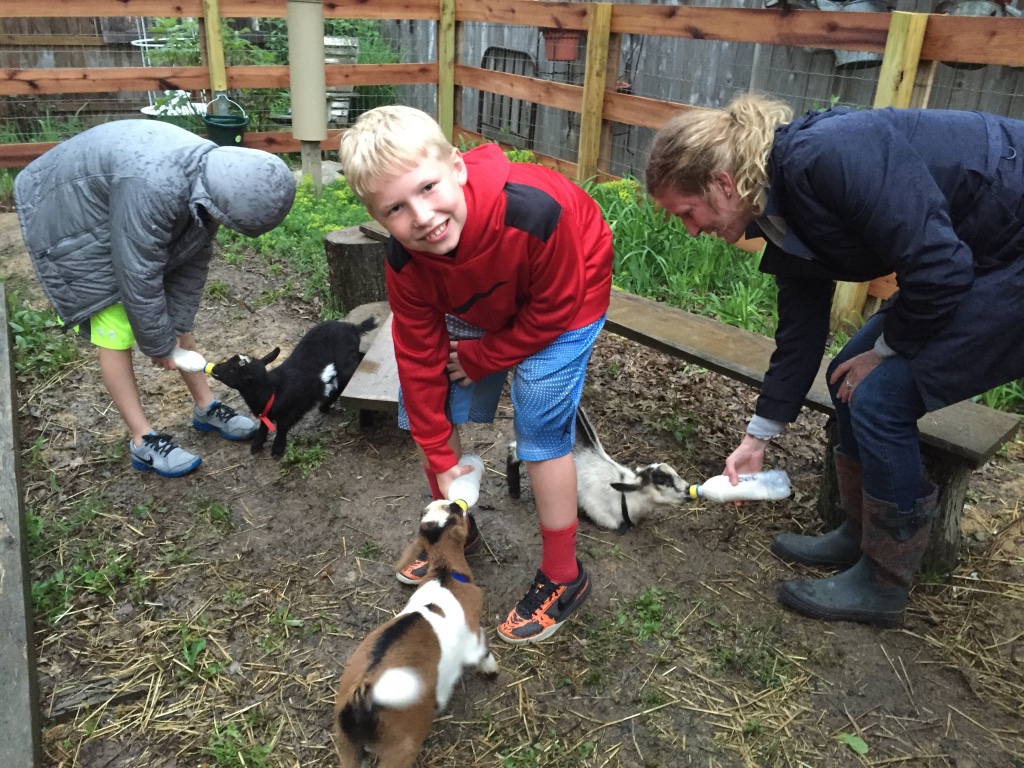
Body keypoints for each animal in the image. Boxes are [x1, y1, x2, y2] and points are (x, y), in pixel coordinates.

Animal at [207, 318, 375, 456]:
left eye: (233, 370)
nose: (214, 368)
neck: (272, 389)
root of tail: (353, 327)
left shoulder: (294, 410)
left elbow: (282, 427)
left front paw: (277, 449)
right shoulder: (265, 412)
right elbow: (264, 425)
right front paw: (257, 444)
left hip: (346, 367)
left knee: (343, 385)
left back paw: (325, 405)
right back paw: (324, 406)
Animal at [332, 500, 498, 768]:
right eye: (454, 513)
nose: (455, 502)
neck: (444, 574)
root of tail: (362, 696)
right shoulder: (472, 633)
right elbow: (483, 649)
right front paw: (491, 671)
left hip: (347, 744)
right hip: (401, 747)